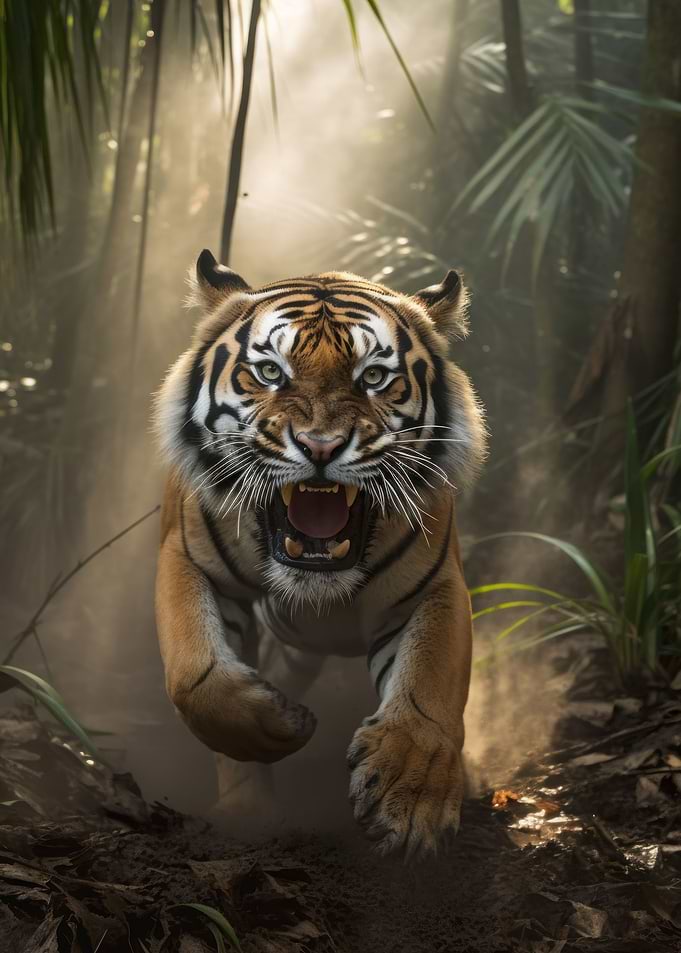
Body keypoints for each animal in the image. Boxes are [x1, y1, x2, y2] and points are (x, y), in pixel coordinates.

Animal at [154, 249, 486, 856]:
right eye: (270, 372)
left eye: (374, 377)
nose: (321, 446)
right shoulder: (184, 558)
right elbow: (196, 676)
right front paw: (274, 740)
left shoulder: (435, 587)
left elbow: (428, 692)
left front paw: (411, 803)